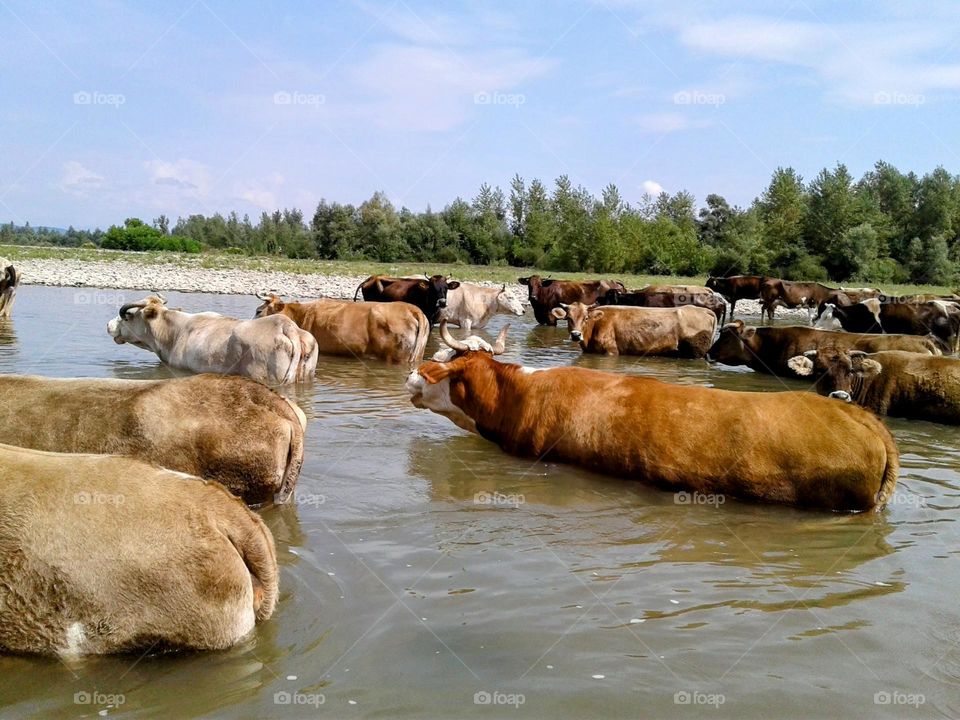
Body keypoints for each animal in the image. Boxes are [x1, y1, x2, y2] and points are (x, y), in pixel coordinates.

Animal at [550, 301, 717, 358]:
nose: (576, 335)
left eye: (586, 318)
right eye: (568, 318)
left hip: (697, 352)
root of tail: (704, 310)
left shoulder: (611, 351)